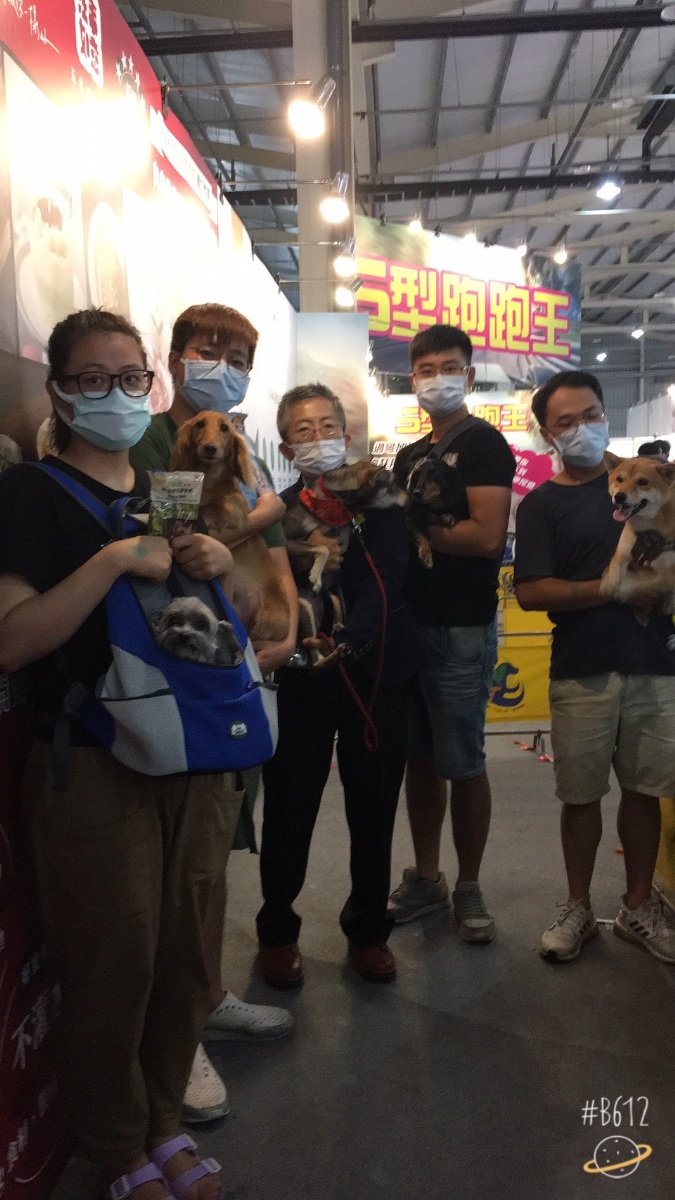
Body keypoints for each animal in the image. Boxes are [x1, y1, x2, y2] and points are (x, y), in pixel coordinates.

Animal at [170, 411, 290, 644]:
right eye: (200, 424)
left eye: (225, 428)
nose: (209, 448)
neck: (207, 479)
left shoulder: (237, 510)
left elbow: (214, 509)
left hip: (262, 623)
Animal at [600, 455, 675, 631]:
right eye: (619, 479)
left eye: (643, 482)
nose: (619, 496)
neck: (649, 529)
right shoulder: (626, 545)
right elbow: (615, 566)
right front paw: (609, 582)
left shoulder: (666, 575)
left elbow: (636, 586)